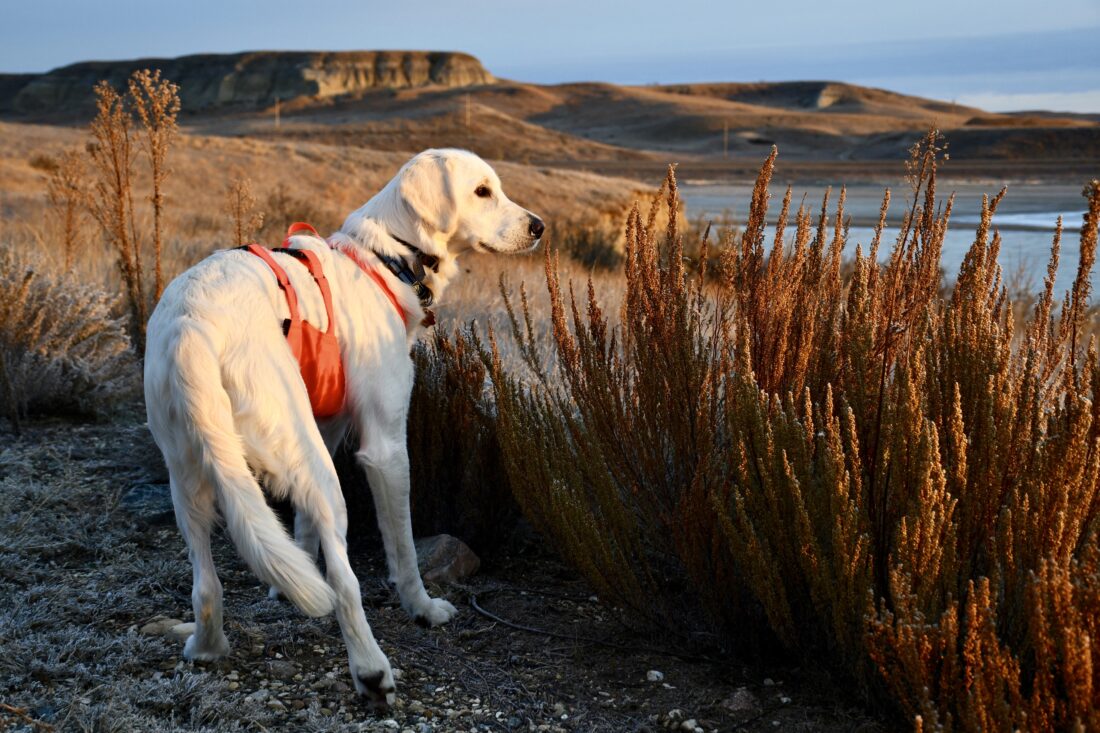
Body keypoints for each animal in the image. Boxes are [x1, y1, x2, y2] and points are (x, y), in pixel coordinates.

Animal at [143, 148, 545, 704]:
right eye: (482, 191)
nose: (538, 227)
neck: (390, 258)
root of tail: (191, 326)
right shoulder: (386, 449)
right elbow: (403, 549)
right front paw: (422, 608)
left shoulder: (327, 427)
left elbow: (301, 529)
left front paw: (286, 580)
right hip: (316, 472)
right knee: (344, 583)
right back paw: (372, 670)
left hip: (195, 474)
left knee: (206, 584)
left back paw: (206, 648)